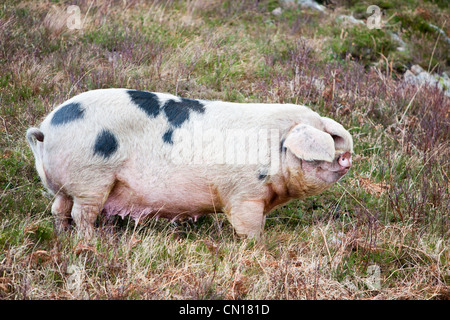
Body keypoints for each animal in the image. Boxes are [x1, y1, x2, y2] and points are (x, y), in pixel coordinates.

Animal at [26, 89, 354, 239]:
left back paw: (62, 234)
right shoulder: (245, 194)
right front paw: (258, 244)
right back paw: (93, 240)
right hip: (91, 179)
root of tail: (46, 129)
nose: (348, 157)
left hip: (66, 185)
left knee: (59, 208)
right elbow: (249, 225)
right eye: (324, 145)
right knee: (82, 213)